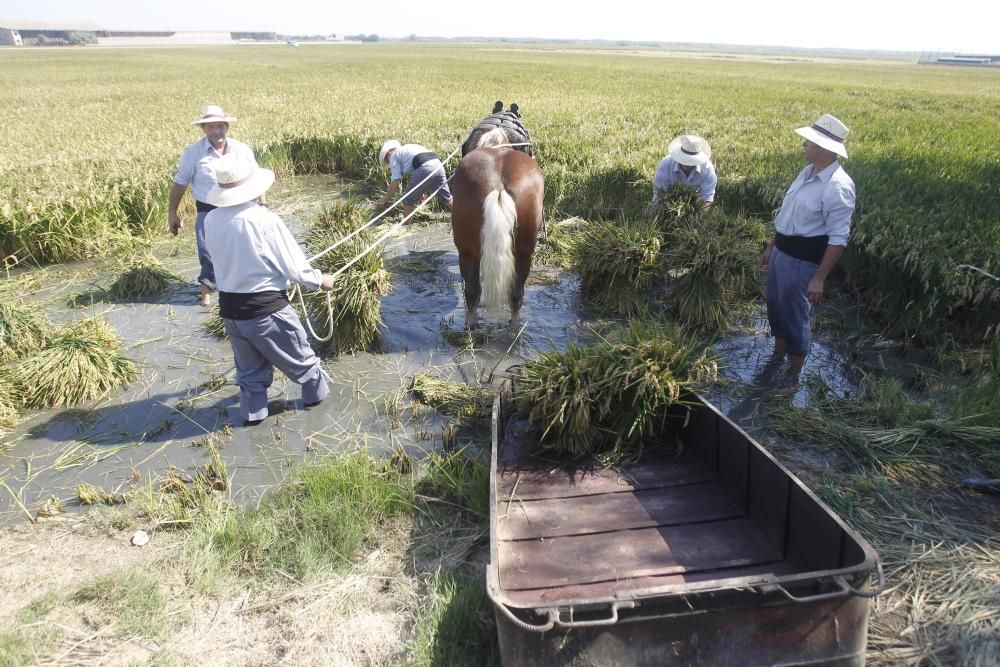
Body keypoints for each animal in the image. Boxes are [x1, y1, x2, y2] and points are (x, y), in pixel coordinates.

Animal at [452, 103, 544, 328]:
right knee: (515, 292)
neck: (497, 143)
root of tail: (498, 186)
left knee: (474, 290)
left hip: (468, 250)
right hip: (524, 250)